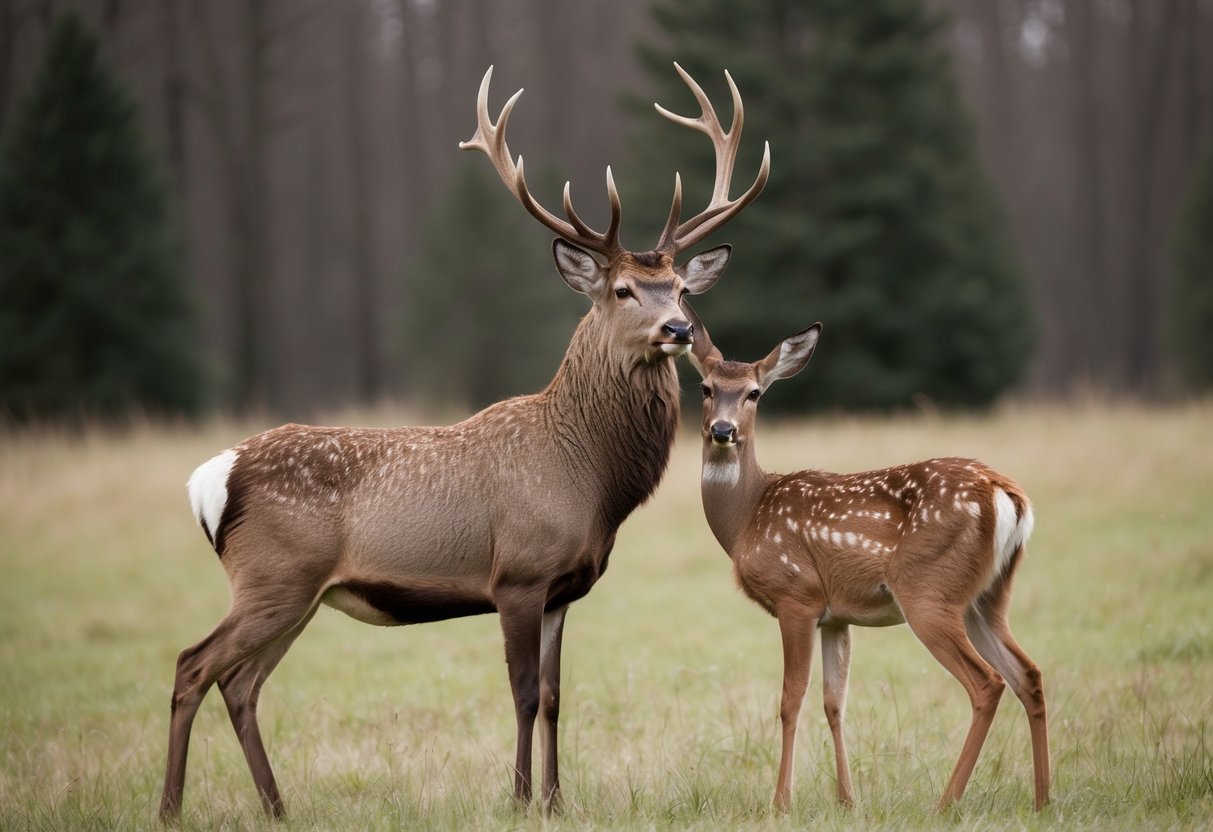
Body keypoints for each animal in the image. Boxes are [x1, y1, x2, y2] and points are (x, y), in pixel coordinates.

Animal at [159, 63, 771, 821]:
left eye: (682, 287)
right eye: (625, 289)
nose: (679, 330)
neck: (588, 479)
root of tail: (213, 477)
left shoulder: (562, 590)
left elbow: (557, 698)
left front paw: (555, 801)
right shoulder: (517, 573)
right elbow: (524, 694)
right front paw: (518, 799)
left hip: (295, 593)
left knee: (240, 684)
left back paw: (277, 808)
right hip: (274, 575)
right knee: (193, 665)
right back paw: (170, 808)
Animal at [681, 301, 1049, 812]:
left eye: (754, 393)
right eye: (706, 388)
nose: (722, 430)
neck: (747, 518)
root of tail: (1008, 494)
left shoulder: (797, 596)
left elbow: (791, 699)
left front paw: (781, 802)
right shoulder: (836, 615)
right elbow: (835, 701)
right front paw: (846, 799)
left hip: (928, 591)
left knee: (987, 682)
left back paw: (946, 802)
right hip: (987, 596)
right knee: (1028, 673)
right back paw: (1043, 800)